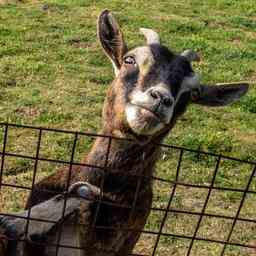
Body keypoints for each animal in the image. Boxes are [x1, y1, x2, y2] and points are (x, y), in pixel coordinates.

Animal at [0, 9, 248, 255]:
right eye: (130, 60)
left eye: (193, 92)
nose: (161, 98)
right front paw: (19, 220)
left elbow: (86, 193)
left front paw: (16, 221)